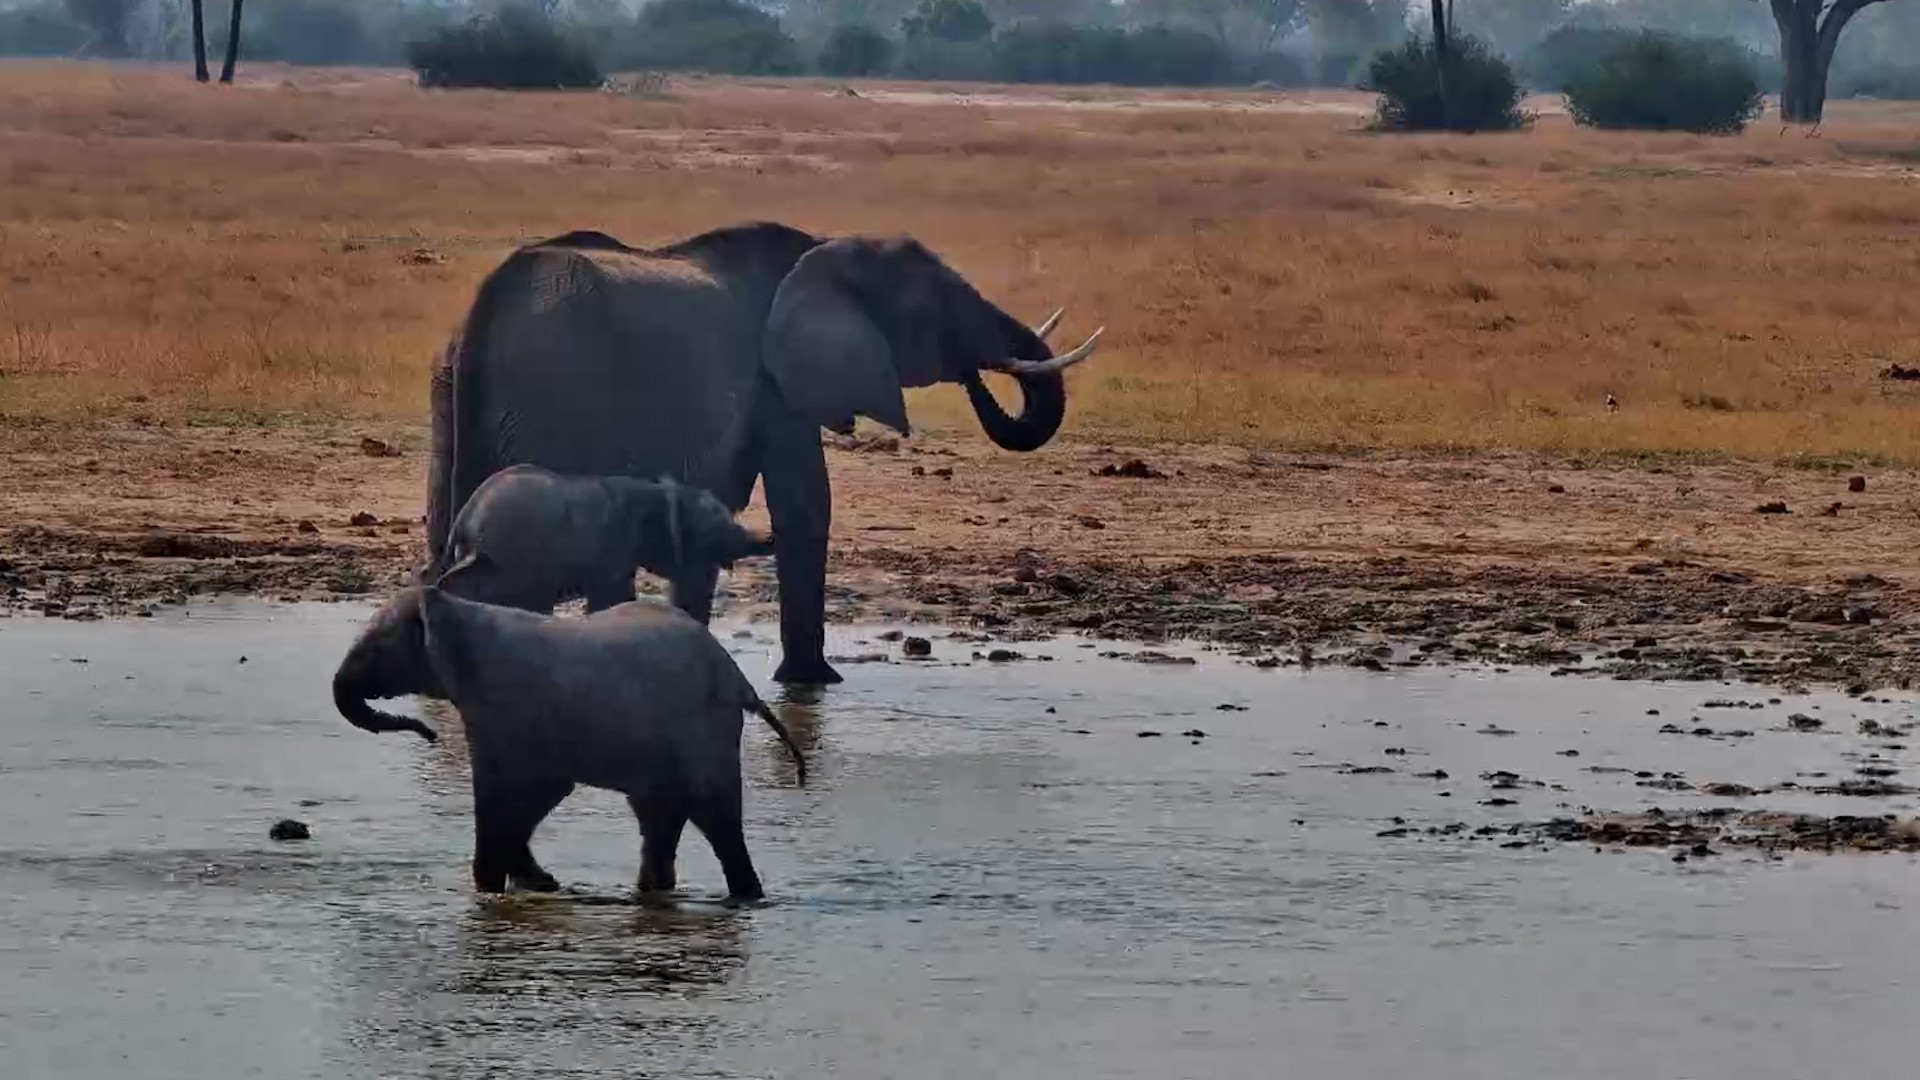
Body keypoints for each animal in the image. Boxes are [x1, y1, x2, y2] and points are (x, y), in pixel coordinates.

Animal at [336, 582, 808, 900]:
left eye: (377, 647)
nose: (430, 734)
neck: (454, 609)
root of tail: (740, 681)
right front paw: (539, 886)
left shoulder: (506, 709)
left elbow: (523, 791)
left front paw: (498, 889)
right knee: (660, 821)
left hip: (703, 733)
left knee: (718, 820)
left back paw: (745, 898)